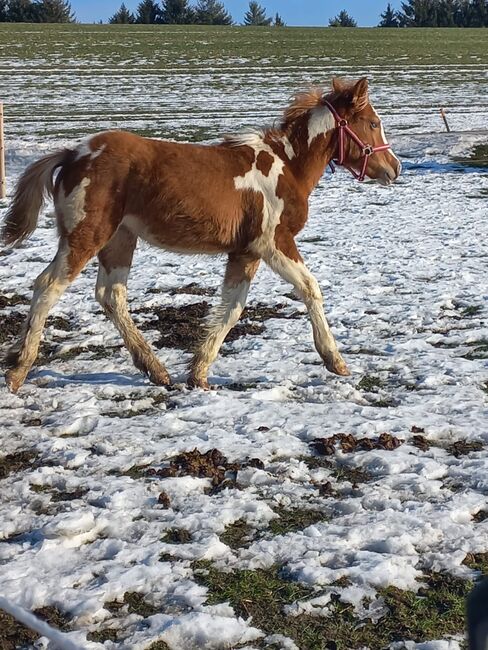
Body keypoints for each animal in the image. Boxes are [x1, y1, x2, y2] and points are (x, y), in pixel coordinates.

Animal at [0, 76, 400, 390]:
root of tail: (71, 153)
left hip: (119, 239)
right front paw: (335, 360)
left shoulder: (245, 252)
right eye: (372, 123)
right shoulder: (274, 243)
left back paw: (156, 370)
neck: (287, 166)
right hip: (86, 235)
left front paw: (199, 373)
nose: (394, 167)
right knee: (48, 286)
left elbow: (232, 308)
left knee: (111, 296)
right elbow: (309, 288)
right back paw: (19, 369)